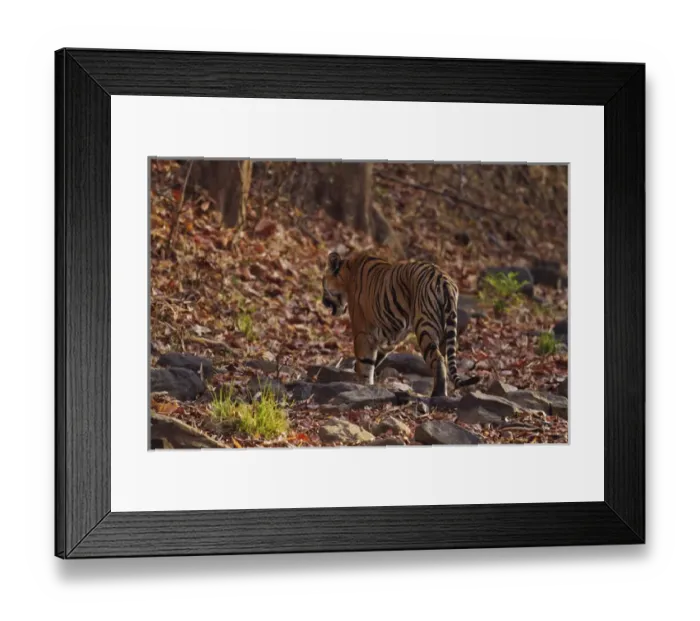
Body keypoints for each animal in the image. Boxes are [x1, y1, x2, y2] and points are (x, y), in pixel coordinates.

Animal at [321, 249, 479, 398]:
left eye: (323, 284)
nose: (322, 301)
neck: (347, 274)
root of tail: (443, 279)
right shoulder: (391, 334)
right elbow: (376, 357)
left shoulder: (362, 331)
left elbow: (365, 362)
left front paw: (362, 385)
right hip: (445, 330)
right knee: (445, 360)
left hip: (425, 328)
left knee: (438, 359)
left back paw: (438, 394)